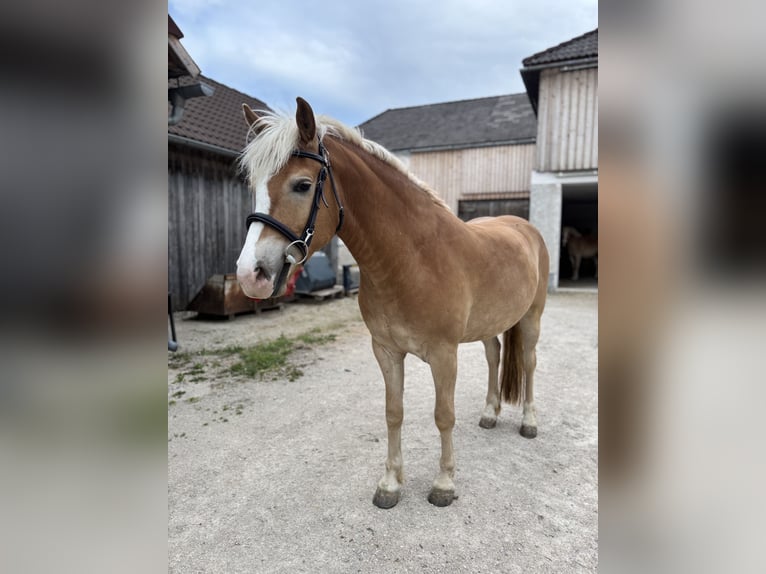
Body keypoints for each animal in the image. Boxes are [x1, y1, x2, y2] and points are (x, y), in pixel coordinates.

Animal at [236, 97, 549, 509]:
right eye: (252, 185)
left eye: (302, 185)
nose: (249, 274)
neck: (413, 259)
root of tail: (523, 225)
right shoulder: (386, 350)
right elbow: (393, 413)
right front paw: (390, 484)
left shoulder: (444, 354)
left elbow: (443, 415)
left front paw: (443, 484)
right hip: (489, 325)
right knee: (494, 355)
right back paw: (490, 413)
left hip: (531, 319)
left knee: (528, 363)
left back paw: (529, 421)